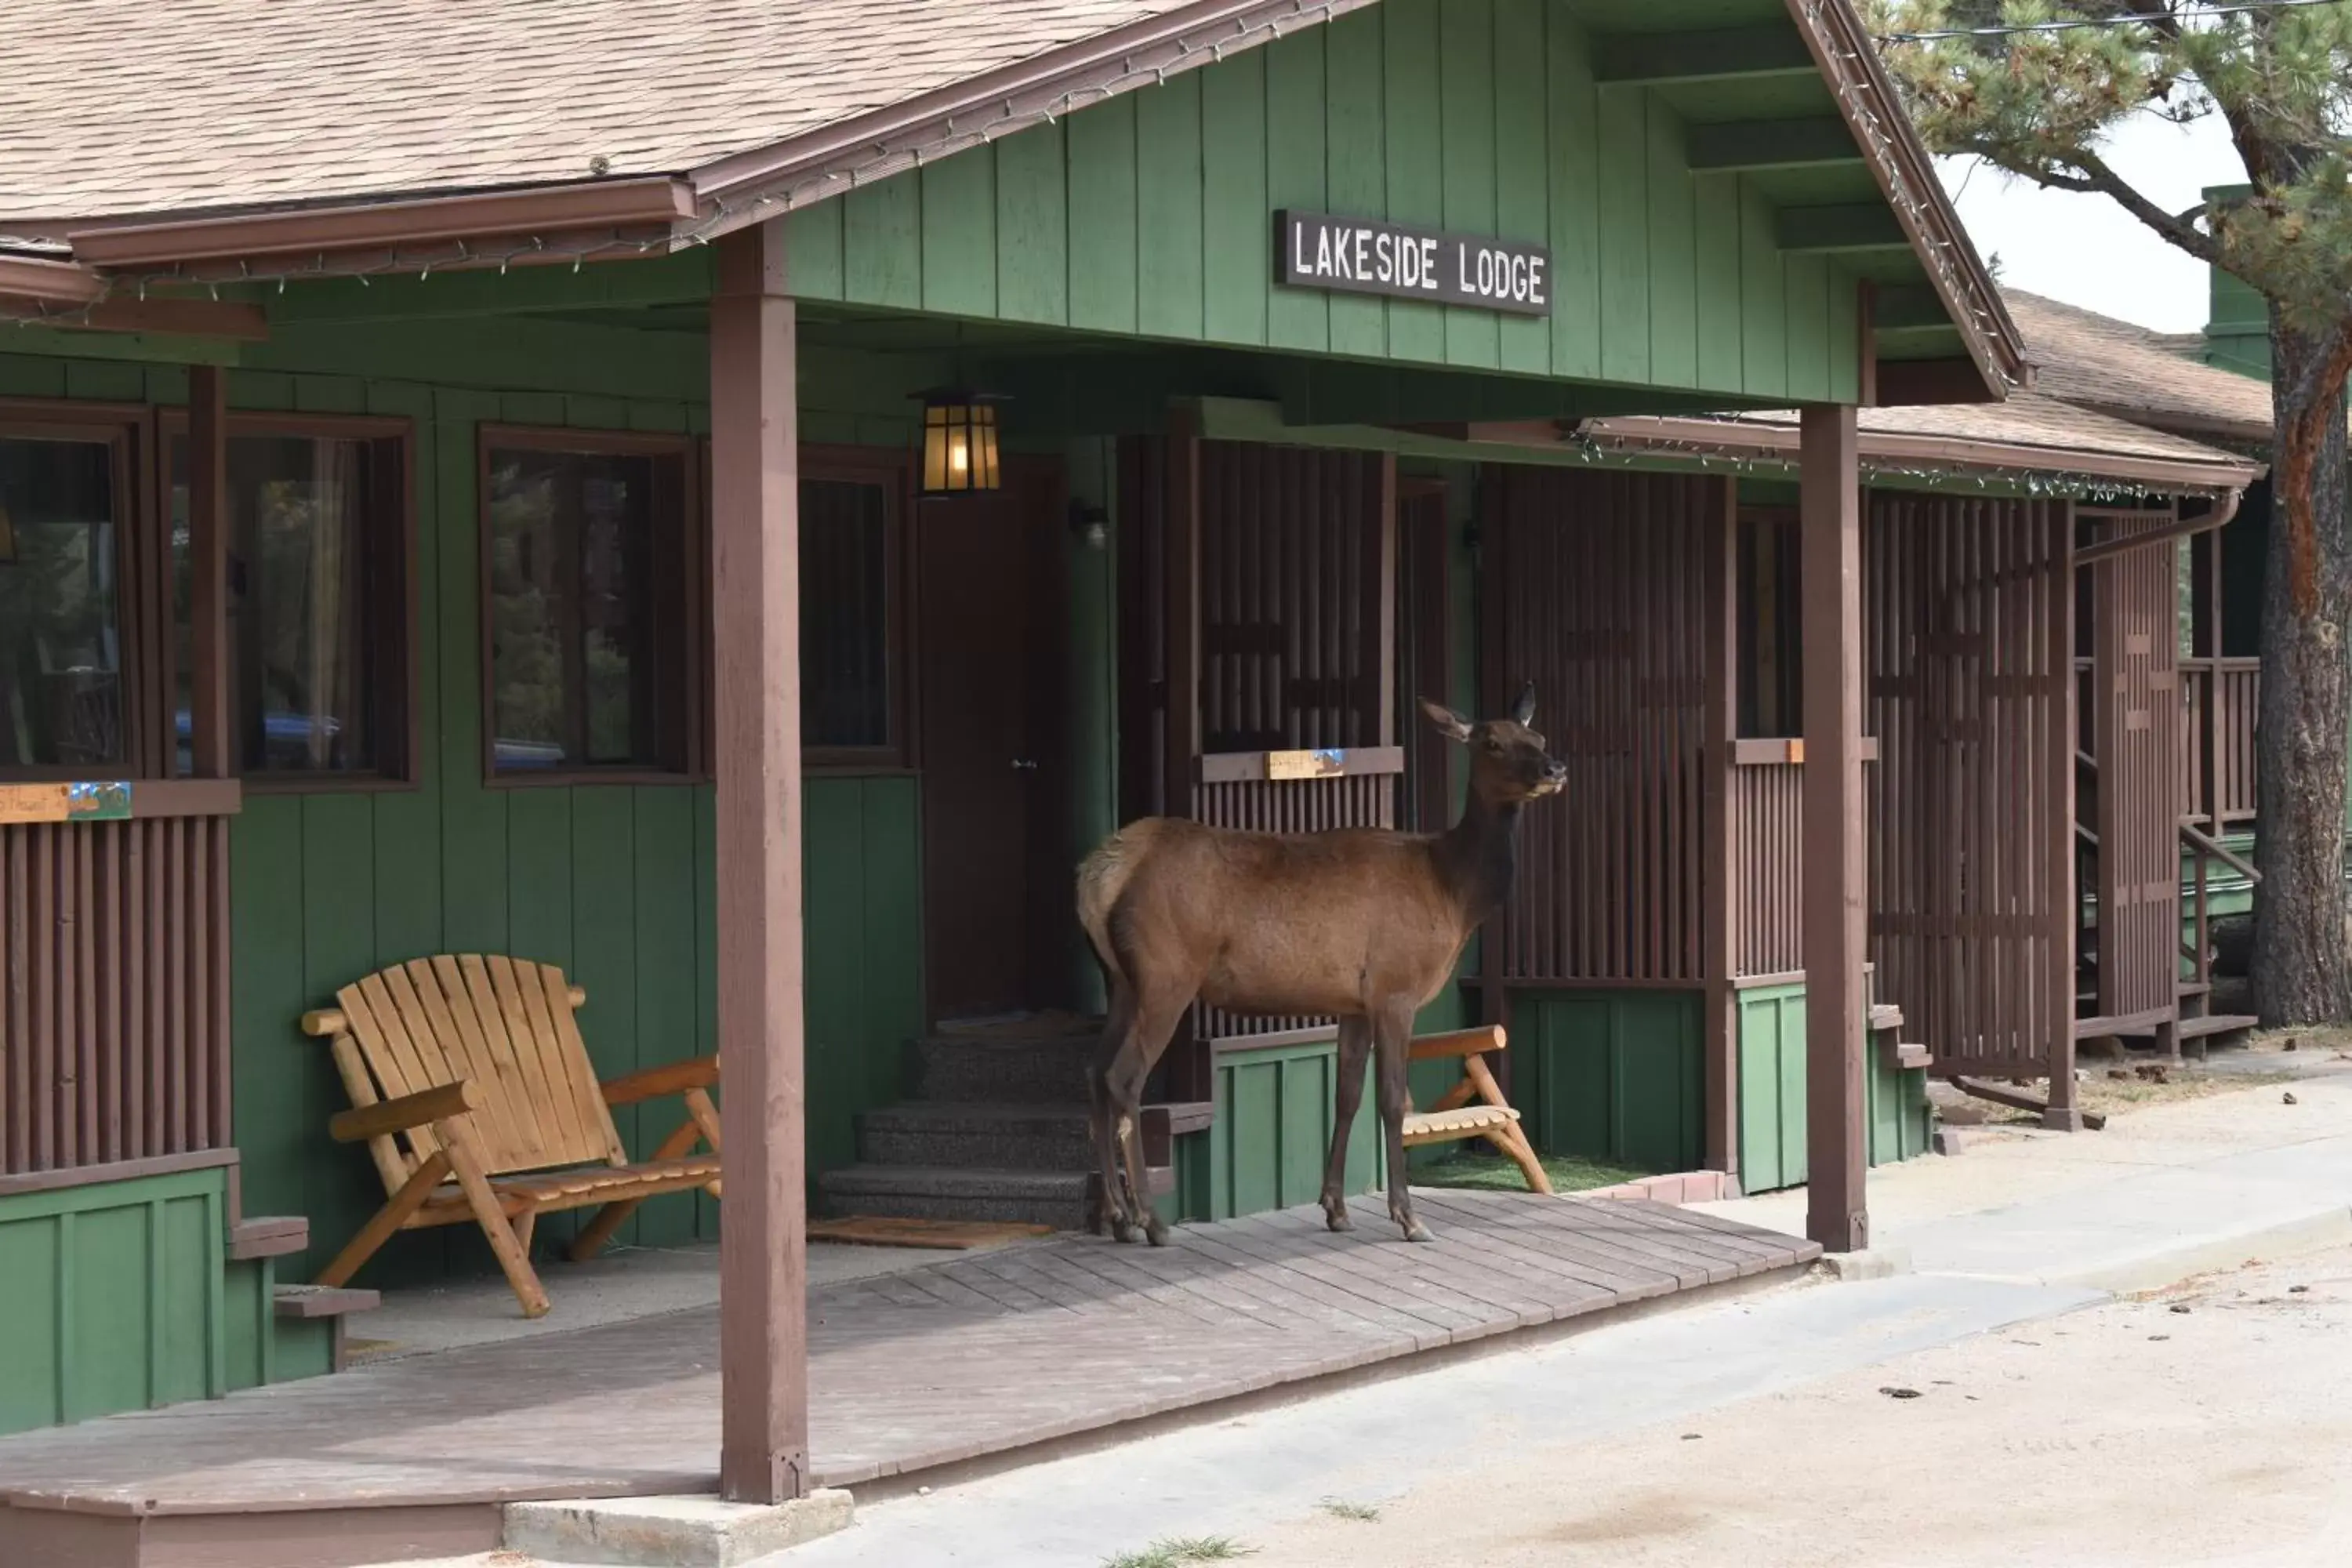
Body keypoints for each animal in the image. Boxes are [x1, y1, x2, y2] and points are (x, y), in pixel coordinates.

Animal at [1077, 691, 1562, 1241]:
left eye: (1538, 736)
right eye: (1494, 742)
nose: (1555, 768)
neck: (1453, 894)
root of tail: (1100, 874)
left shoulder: (1353, 1003)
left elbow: (1346, 1095)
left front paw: (1335, 1208)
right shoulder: (1395, 988)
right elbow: (1391, 1099)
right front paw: (1408, 1216)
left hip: (1120, 981)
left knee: (1094, 1072)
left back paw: (1119, 1217)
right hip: (1167, 972)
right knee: (1124, 1078)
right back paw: (1150, 1220)